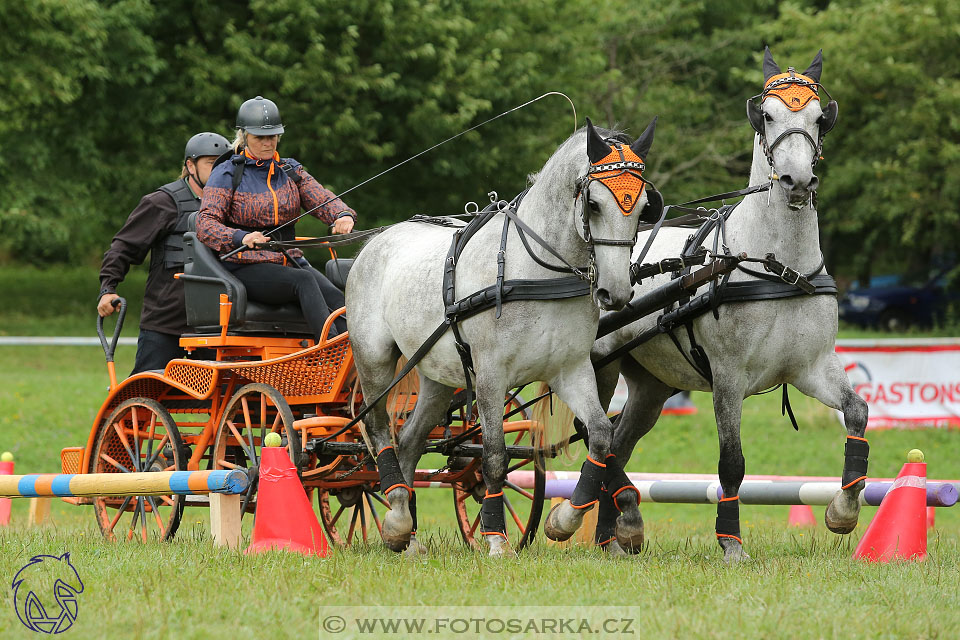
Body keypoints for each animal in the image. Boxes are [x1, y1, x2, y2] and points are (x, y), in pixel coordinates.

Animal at [344, 117, 660, 556]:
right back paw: (396, 516)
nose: (616, 293)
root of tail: (377, 241)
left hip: (438, 376)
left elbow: (600, 436)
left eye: (644, 206)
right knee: (378, 432)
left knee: (407, 440)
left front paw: (564, 520)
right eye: (594, 204)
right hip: (374, 360)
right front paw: (496, 539)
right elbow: (494, 457)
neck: (537, 272)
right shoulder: (492, 375)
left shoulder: (571, 370)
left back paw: (404, 531)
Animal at [548, 47, 872, 564]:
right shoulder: (728, 376)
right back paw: (585, 519)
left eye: (819, 117)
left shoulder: (812, 366)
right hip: (597, 365)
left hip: (652, 385)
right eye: (767, 114)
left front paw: (843, 509)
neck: (776, 265)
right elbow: (732, 463)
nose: (797, 181)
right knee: (595, 434)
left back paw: (614, 535)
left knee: (617, 440)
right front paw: (730, 542)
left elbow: (857, 412)